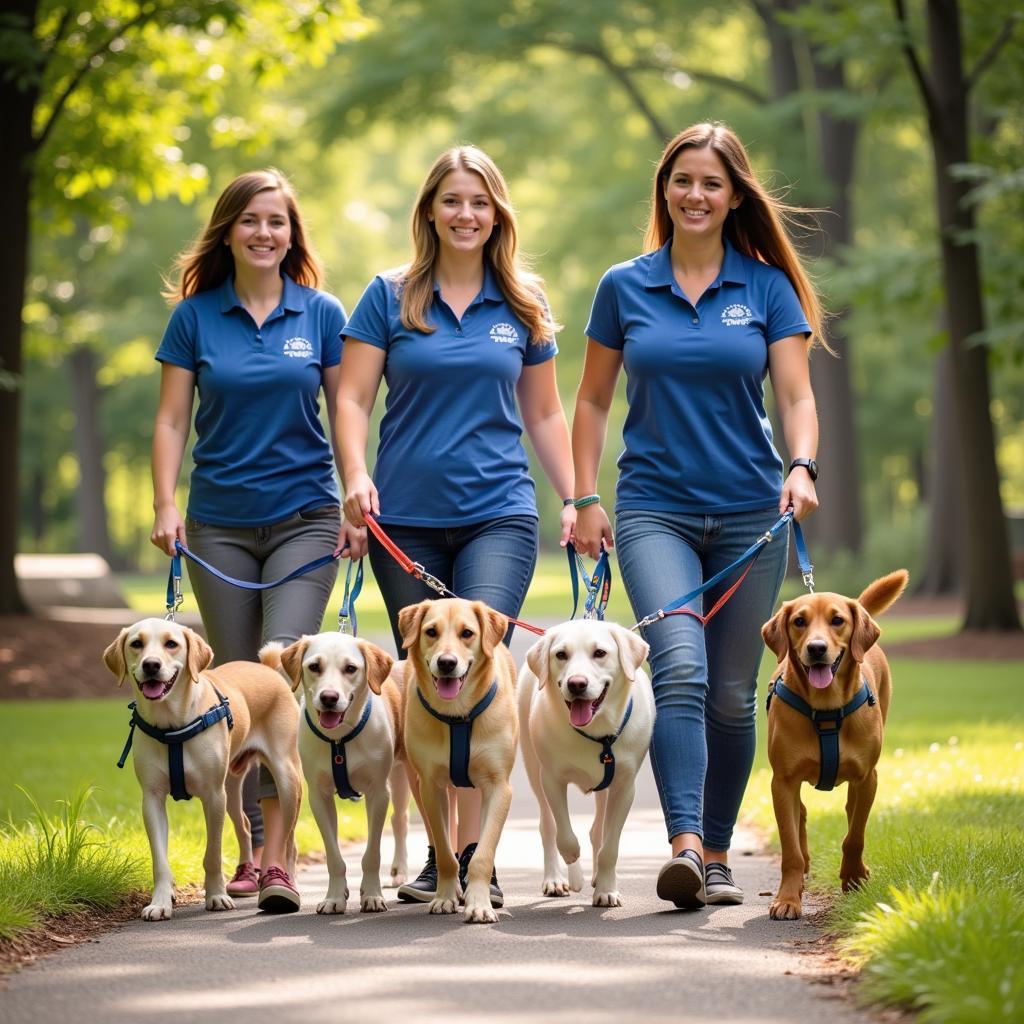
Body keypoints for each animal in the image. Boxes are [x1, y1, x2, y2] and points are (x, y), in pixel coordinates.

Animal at [104, 618, 303, 925]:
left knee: (289, 840)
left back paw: (286, 884)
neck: (171, 725)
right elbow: (160, 859)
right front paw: (160, 902)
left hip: (286, 778)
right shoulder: (152, 799)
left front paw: (217, 896)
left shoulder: (213, 797)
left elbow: (213, 854)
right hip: (231, 788)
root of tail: (268, 669)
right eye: (136, 643)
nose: (151, 665)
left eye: (171, 644)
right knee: (245, 826)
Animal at [262, 630, 409, 913]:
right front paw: (334, 897)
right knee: (399, 820)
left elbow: (372, 854)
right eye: (314, 666)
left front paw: (372, 895)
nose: (329, 697)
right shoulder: (319, 797)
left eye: (350, 668)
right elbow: (333, 856)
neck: (339, 740)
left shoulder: (377, 793)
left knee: (403, 818)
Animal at [395, 598, 516, 925]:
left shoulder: (498, 787)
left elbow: (483, 854)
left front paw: (480, 903)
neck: (457, 714)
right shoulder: (430, 786)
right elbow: (445, 851)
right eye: (431, 631)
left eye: (467, 633)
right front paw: (446, 896)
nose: (447, 663)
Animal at [520, 618, 655, 909]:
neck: (596, 732)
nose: (577, 684)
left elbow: (609, 847)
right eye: (561, 654)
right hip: (532, 765)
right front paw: (572, 861)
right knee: (548, 826)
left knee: (597, 831)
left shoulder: (624, 787)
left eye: (600, 653)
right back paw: (557, 879)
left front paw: (606, 889)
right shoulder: (552, 779)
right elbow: (564, 833)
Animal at [761, 577, 913, 921]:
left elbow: (854, 836)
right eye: (799, 621)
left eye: (837, 620)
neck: (826, 708)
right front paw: (788, 899)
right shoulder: (782, 782)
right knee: (801, 815)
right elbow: (789, 848)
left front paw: (853, 877)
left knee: (849, 812)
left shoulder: (867, 778)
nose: (816, 648)